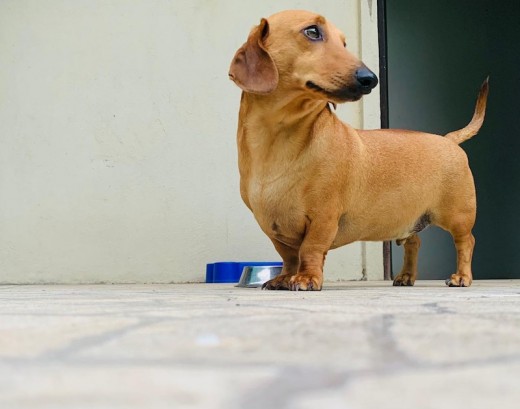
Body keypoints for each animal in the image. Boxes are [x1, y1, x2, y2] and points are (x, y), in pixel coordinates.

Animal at [228, 9, 488, 290]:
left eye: (344, 42)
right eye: (312, 31)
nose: (370, 79)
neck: (278, 139)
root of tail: (449, 139)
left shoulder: (323, 218)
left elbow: (309, 250)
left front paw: (307, 278)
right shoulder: (272, 227)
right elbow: (289, 257)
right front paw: (284, 278)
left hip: (458, 215)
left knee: (466, 242)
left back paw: (461, 277)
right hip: (409, 220)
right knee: (414, 242)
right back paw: (406, 277)